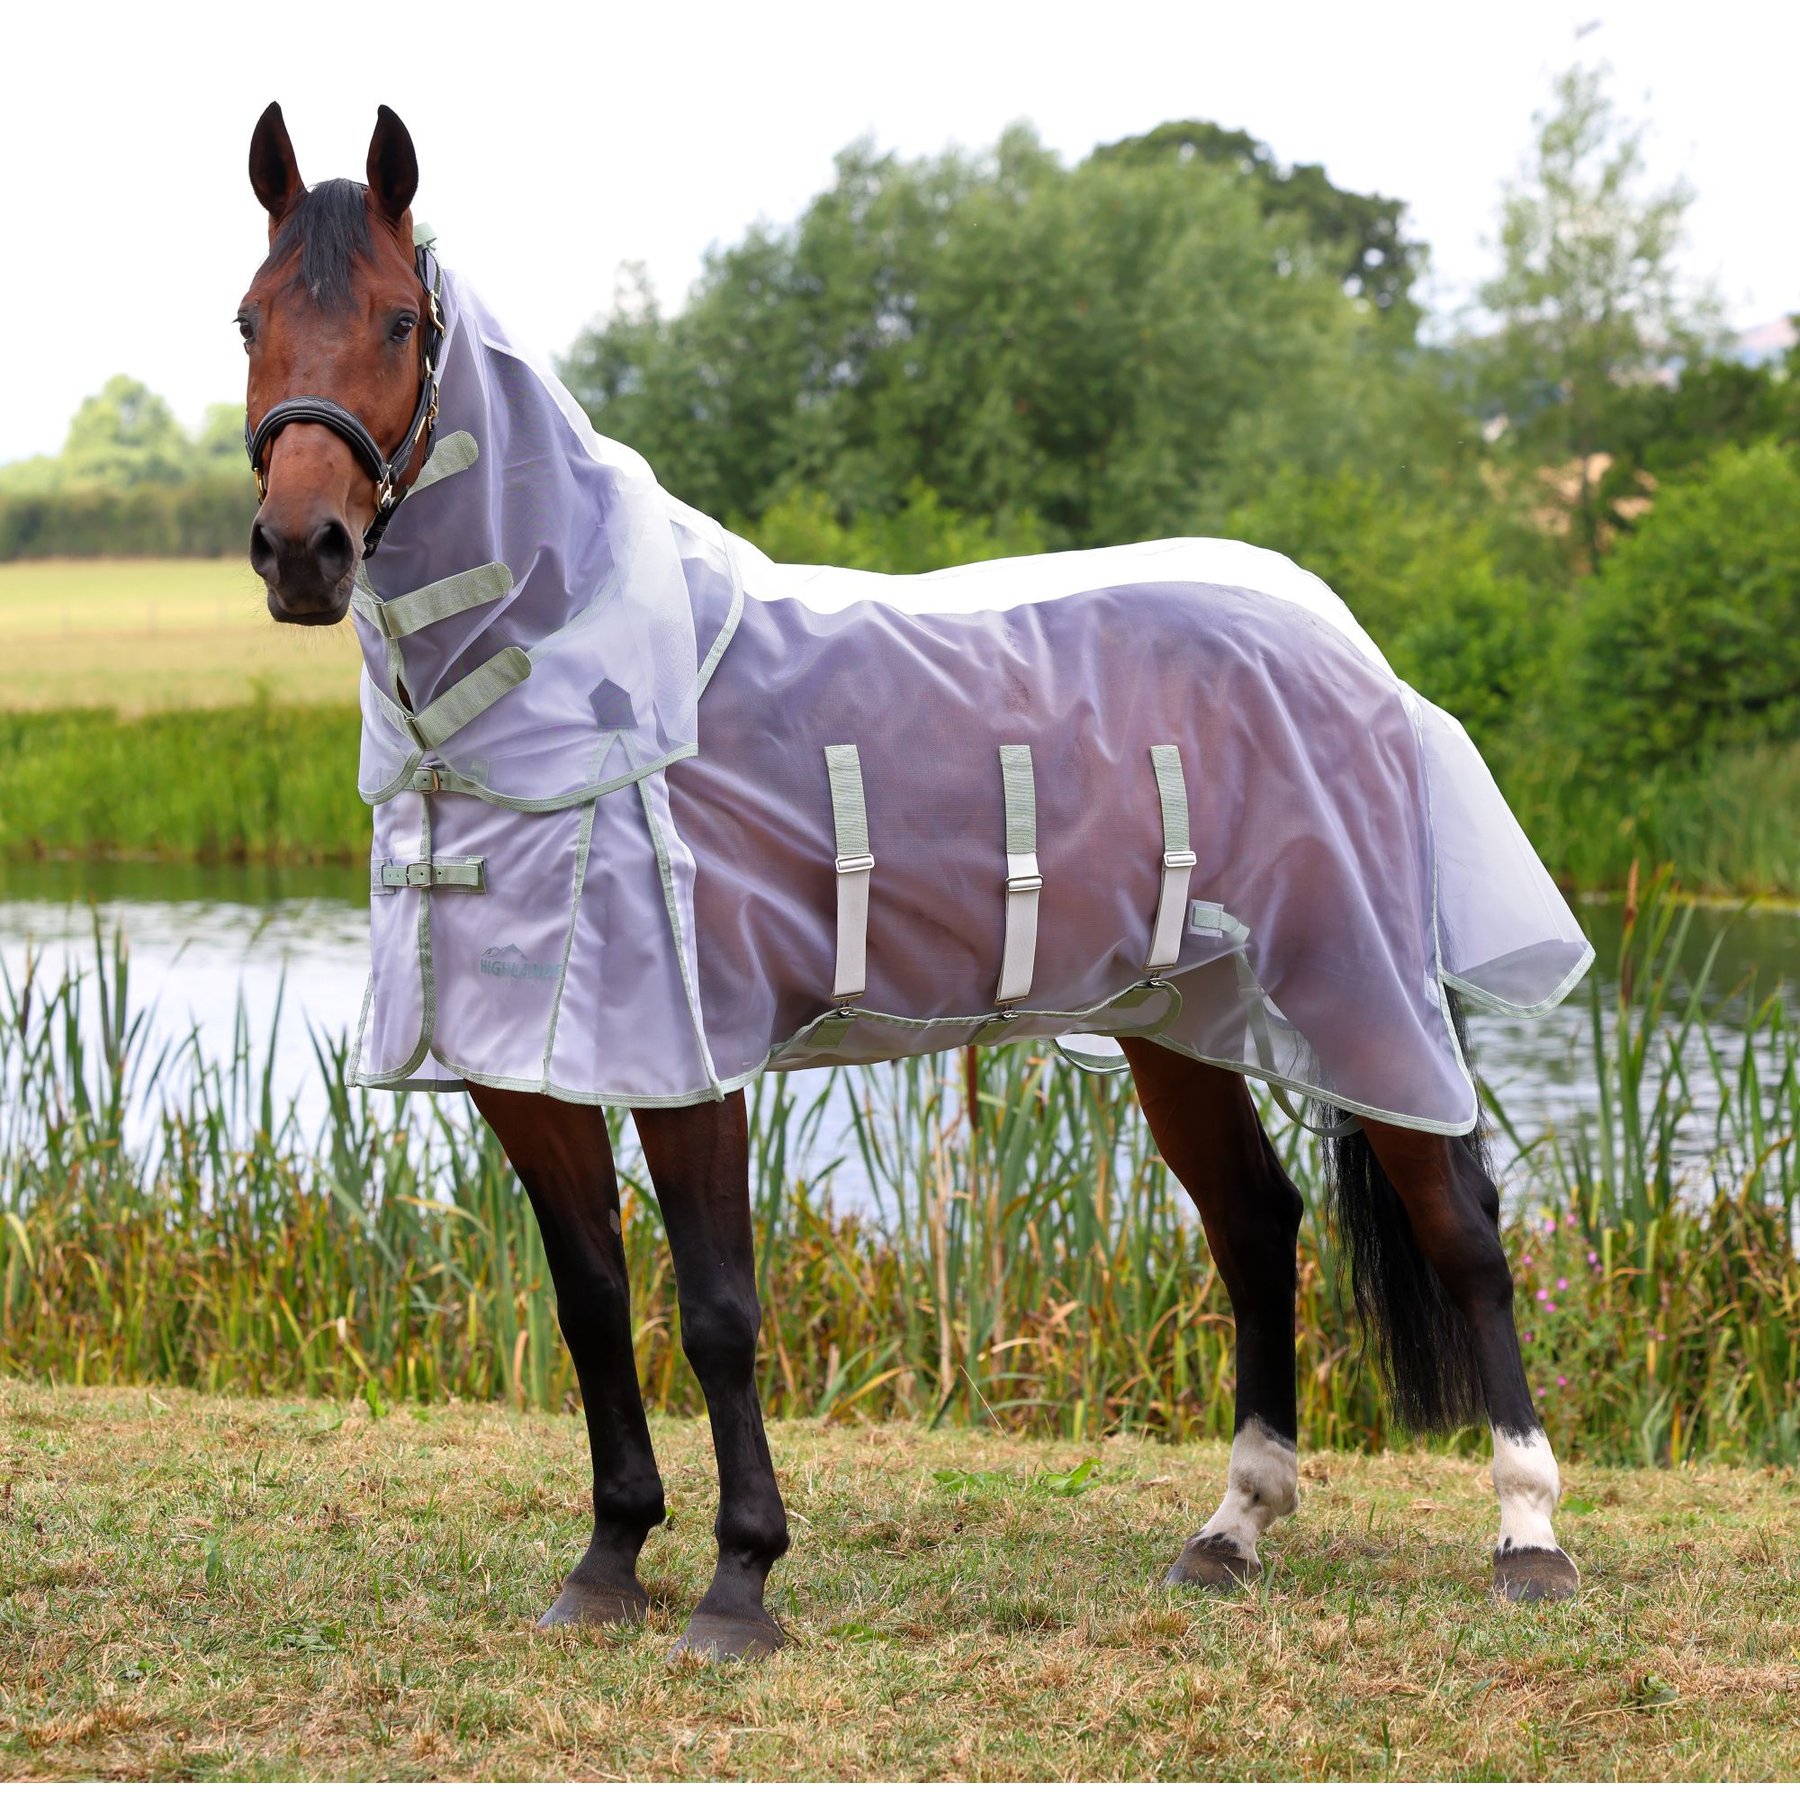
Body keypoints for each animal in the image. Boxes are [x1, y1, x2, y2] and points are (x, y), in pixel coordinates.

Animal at [238, 101, 1588, 1662]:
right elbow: (589, 1302)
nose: (302, 551)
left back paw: (1529, 1536)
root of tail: (1344, 638)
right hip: (1181, 1018)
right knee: (1256, 1227)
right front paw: (607, 1563)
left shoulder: (691, 1063)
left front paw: (739, 1584)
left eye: (398, 322)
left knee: (1462, 1229)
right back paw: (1231, 1532)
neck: (583, 683)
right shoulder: (529, 1073)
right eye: (249, 319)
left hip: (1361, 992)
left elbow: (719, 1310)